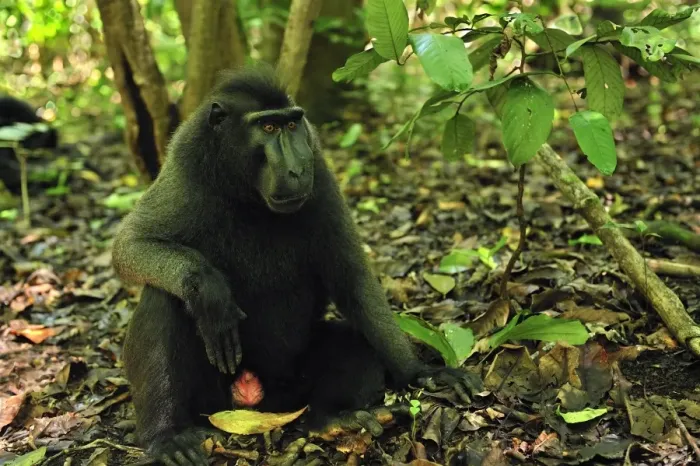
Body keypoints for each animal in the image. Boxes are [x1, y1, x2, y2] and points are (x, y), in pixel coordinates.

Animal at [111, 65, 481, 466]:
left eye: (291, 125)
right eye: (268, 127)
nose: (297, 168)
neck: (247, 194)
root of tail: (258, 398)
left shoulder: (319, 167)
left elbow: (353, 279)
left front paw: (419, 373)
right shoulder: (185, 168)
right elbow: (130, 244)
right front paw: (210, 288)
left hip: (293, 384)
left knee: (353, 345)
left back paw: (337, 418)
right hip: (211, 400)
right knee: (164, 298)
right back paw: (167, 436)